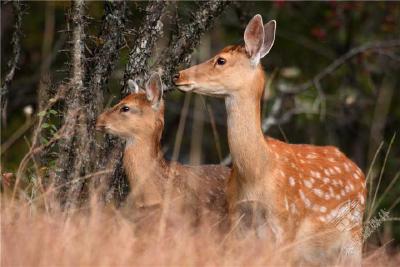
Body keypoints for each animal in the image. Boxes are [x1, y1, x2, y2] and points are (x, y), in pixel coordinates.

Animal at [174, 15, 366, 267]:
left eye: (221, 60)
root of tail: (357, 169)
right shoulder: (236, 219)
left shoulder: (287, 223)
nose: (178, 75)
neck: (257, 171)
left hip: (353, 235)